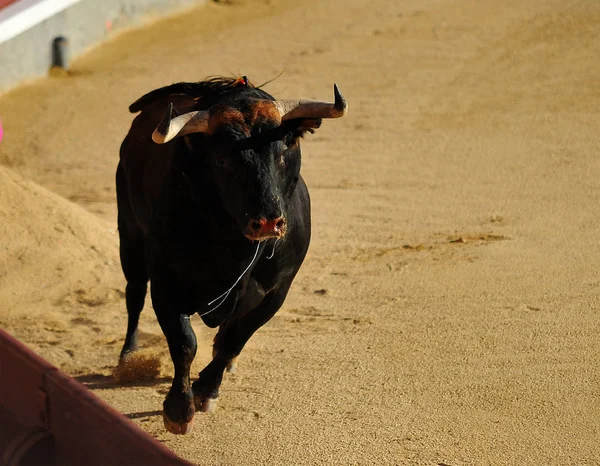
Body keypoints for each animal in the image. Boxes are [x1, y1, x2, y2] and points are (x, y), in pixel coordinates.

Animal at [115, 78, 346, 436]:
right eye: (221, 159)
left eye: (284, 149)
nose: (268, 221)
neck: (233, 247)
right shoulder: (167, 287)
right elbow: (184, 343)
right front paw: (178, 410)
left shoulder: (277, 291)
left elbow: (234, 340)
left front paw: (207, 390)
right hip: (129, 235)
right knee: (134, 294)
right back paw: (127, 357)